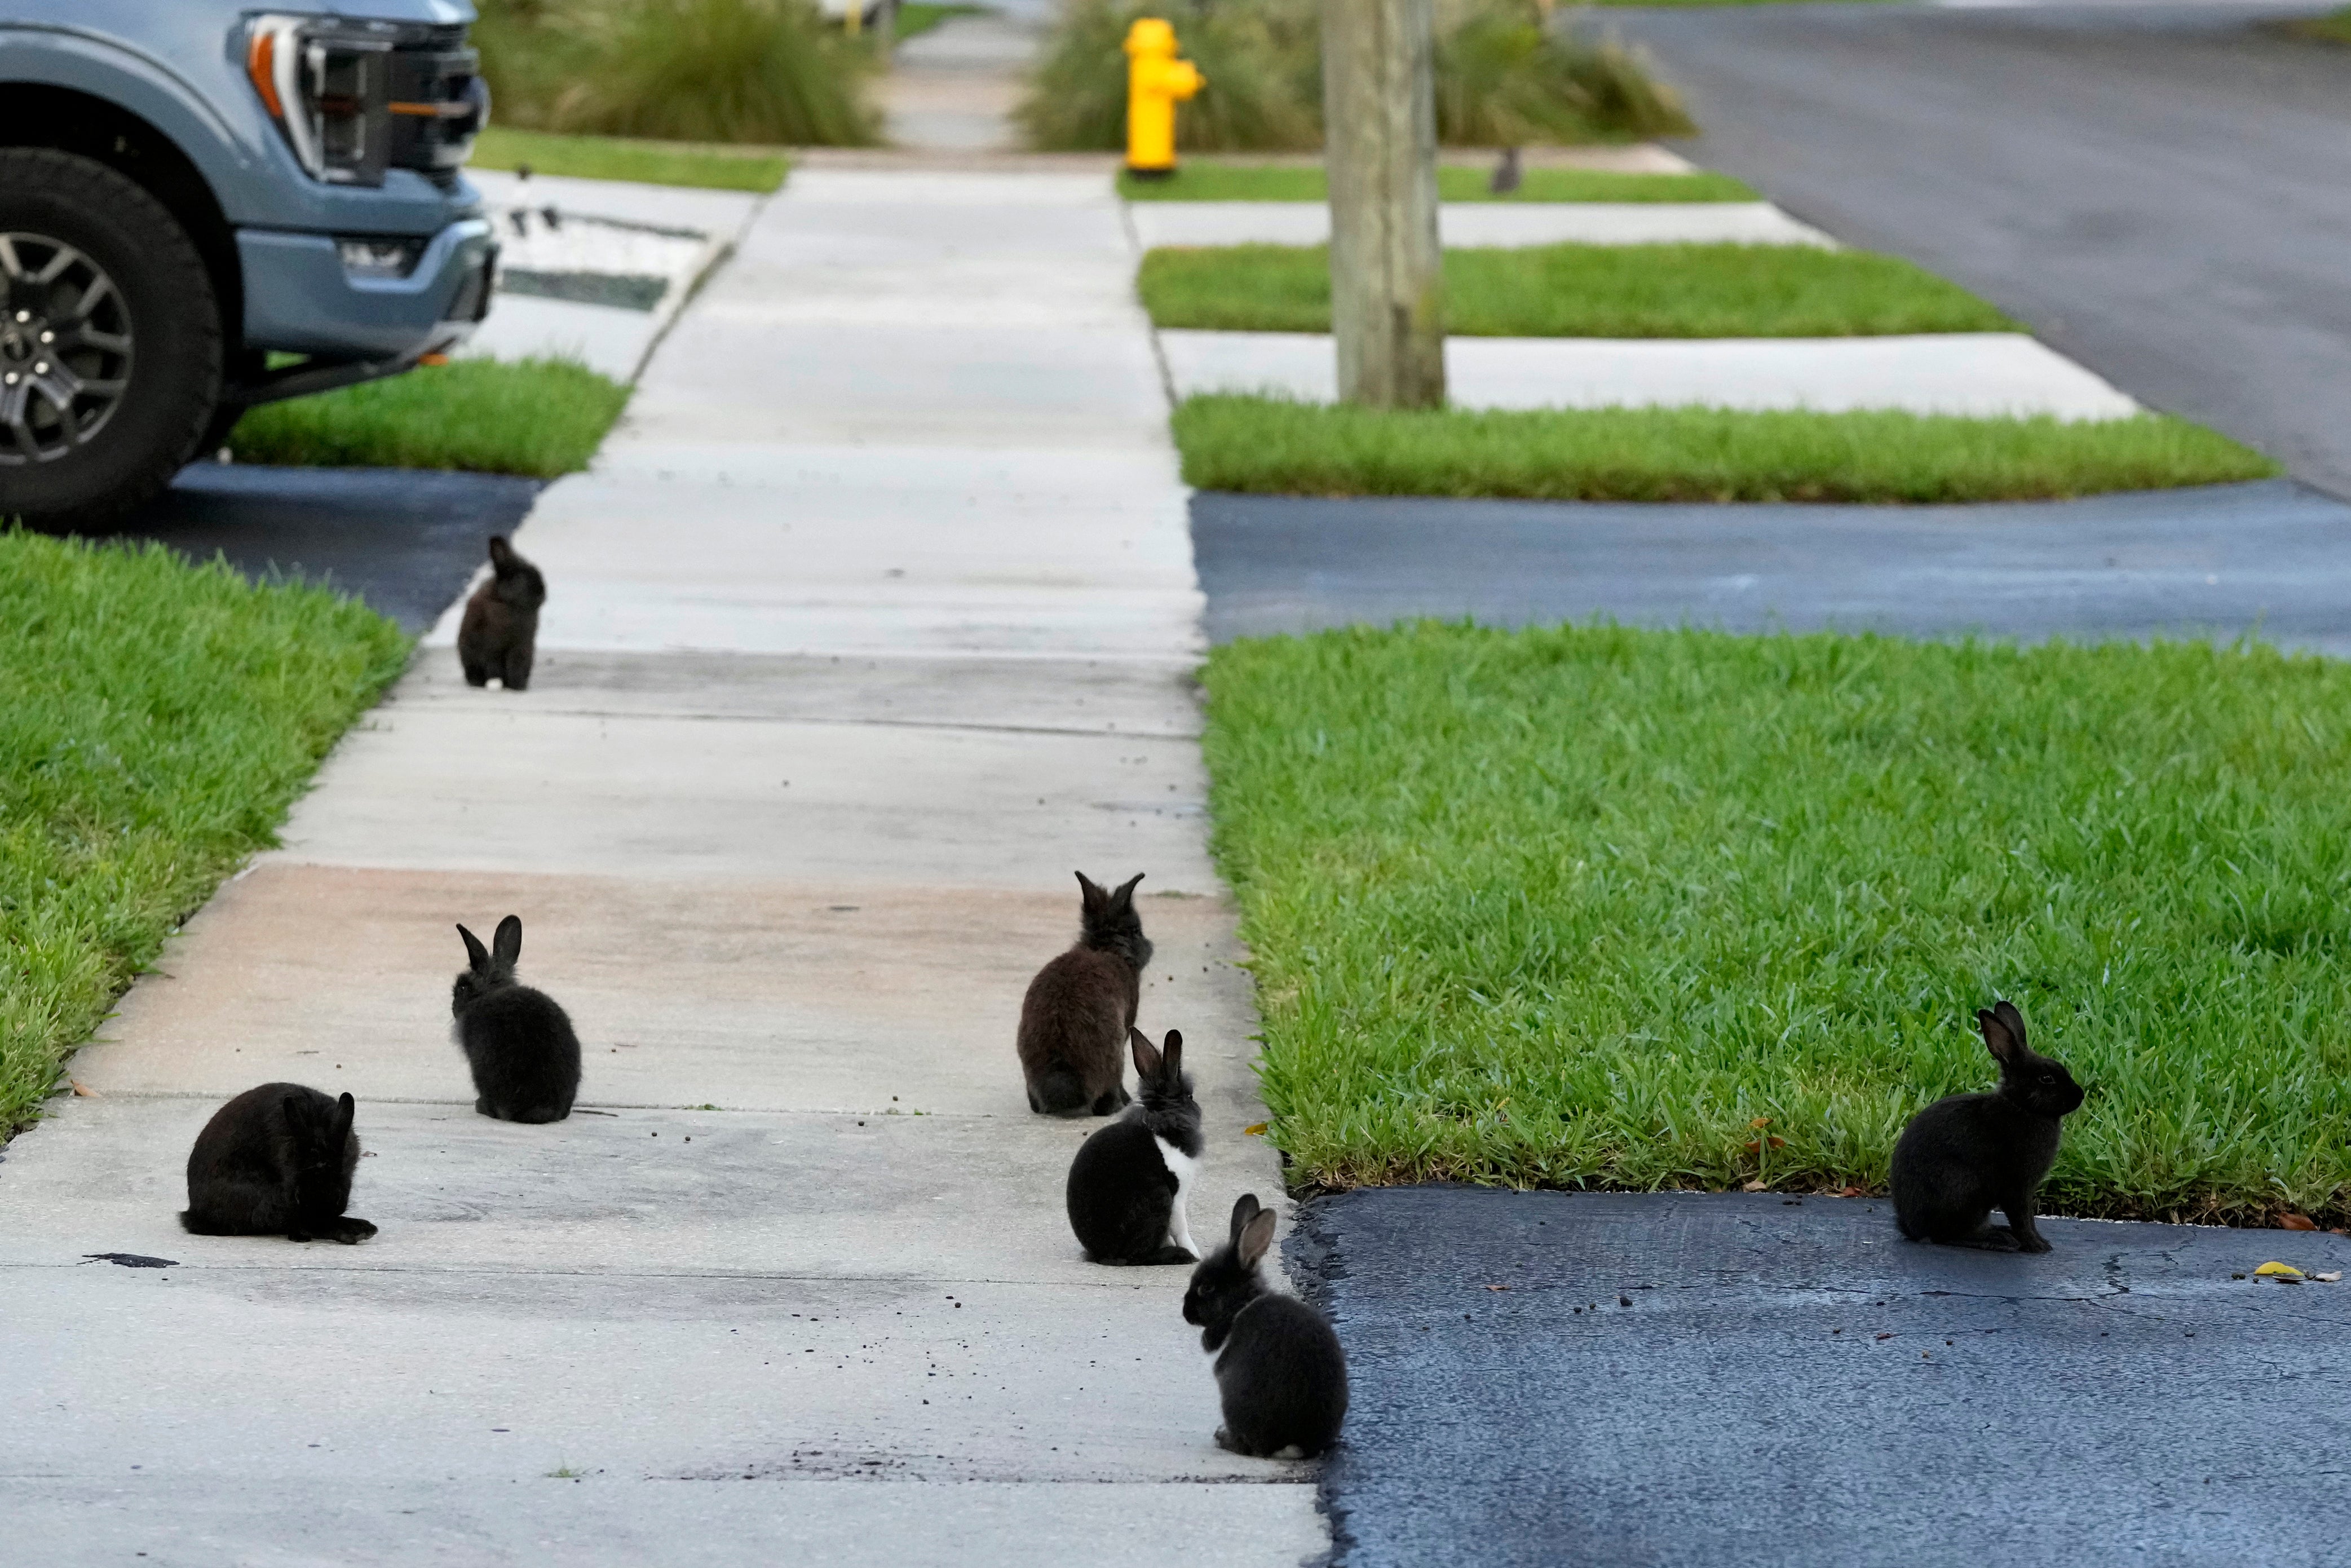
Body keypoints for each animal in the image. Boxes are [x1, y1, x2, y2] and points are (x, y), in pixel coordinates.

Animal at [457, 535, 545, 691]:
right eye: (520, 578)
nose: (542, 593)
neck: (507, 603)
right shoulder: (491, 647)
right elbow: (494, 664)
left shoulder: (521, 646)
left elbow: (517, 664)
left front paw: (518, 686)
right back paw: (479, 682)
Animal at [1065, 1026, 1202, 1266]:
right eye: (1190, 1096)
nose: (1199, 1110)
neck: (1164, 1121)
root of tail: (1106, 1254)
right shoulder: (1177, 1198)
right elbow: (1180, 1228)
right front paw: (1196, 1254)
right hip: (1158, 1199)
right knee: (1138, 1255)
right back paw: (1180, 1255)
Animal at [1890, 999, 2085, 1253]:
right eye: (2046, 1079)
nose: (2080, 1096)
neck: (2021, 1105)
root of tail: (1912, 1228)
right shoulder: (2017, 1186)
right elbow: (2023, 1217)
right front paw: (2037, 1245)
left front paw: (2040, 1243)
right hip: (1964, 1187)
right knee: (1948, 1235)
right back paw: (1998, 1240)